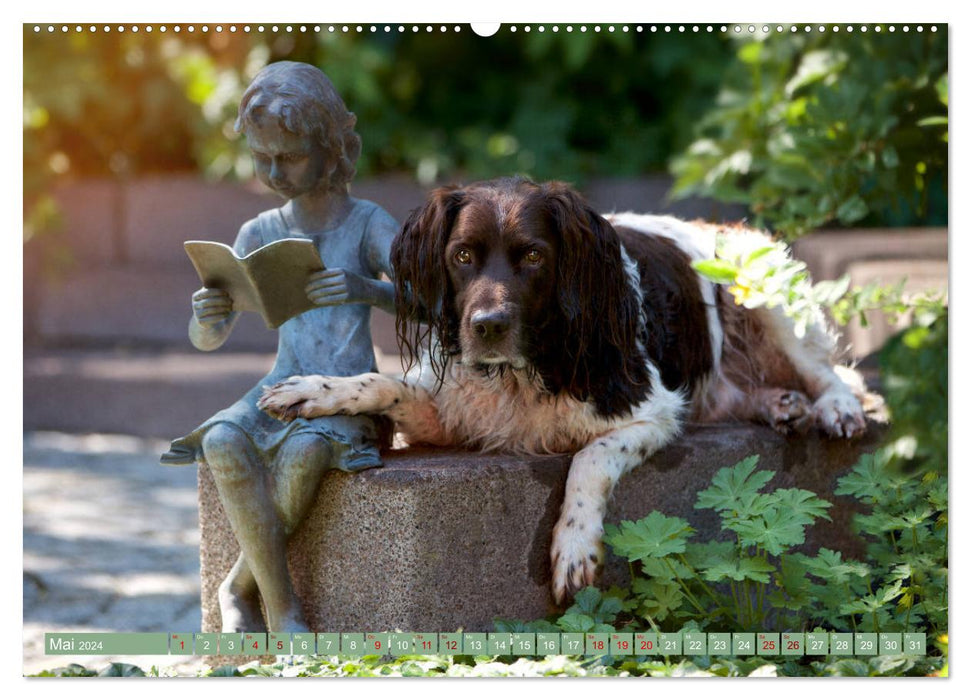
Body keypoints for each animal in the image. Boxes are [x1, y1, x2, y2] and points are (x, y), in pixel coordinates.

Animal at [256, 178, 864, 604]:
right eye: (462, 256)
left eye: (533, 256)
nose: (487, 326)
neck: (525, 368)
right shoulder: (449, 412)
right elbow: (380, 382)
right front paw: (312, 391)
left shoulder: (653, 410)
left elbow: (589, 459)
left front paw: (574, 549)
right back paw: (782, 405)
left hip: (766, 298)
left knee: (828, 371)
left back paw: (834, 408)